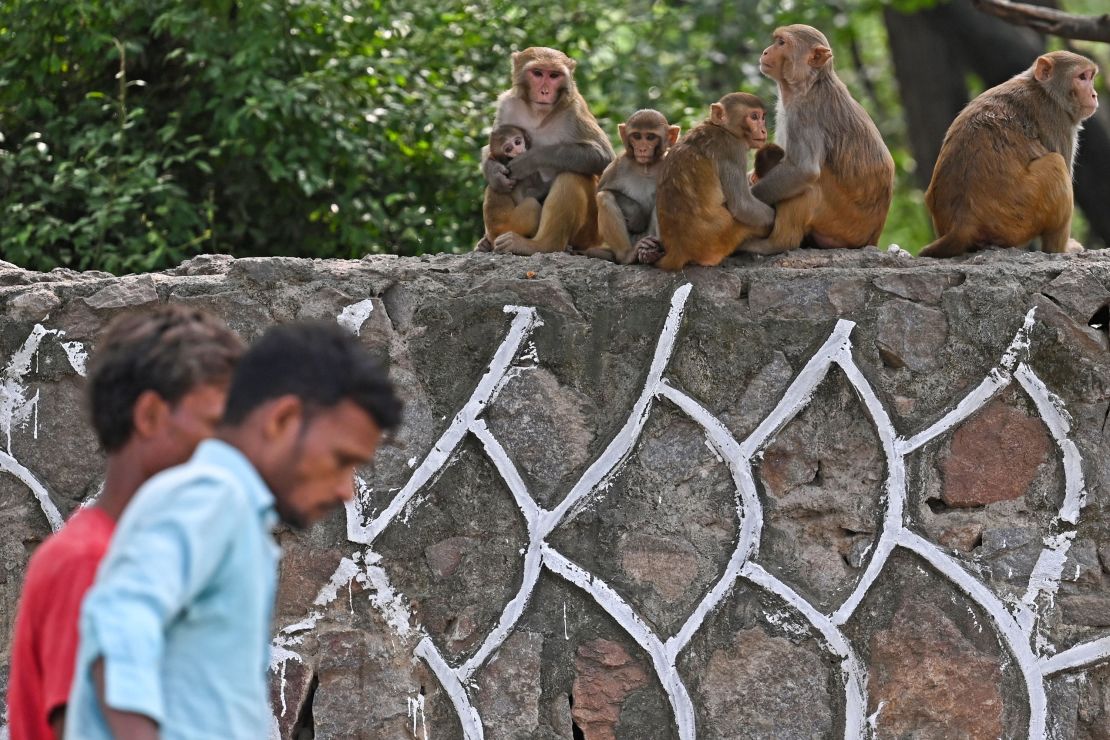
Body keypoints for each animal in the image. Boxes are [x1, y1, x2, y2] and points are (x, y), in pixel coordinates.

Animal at [477, 46, 617, 256]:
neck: (538, 113)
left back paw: (539, 245)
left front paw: (529, 160)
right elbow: (491, 148)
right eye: (537, 73)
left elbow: (604, 158)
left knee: (571, 176)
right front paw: (494, 172)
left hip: (590, 232)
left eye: (554, 75)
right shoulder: (507, 104)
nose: (544, 91)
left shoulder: (575, 111)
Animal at [586, 107, 679, 262]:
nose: (642, 148)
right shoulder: (619, 164)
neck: (646, 167)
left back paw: (652, 252)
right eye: (636, 136)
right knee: (604, 197)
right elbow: (602, 190)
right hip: (633, 239)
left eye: (650, 137)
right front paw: (637, 215)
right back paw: (628, 255)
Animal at [639, 92, 777, 270]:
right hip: (723, 238)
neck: (721, 128)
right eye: (754, 117)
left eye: (762, 117)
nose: (763, 129)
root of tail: (677, 250)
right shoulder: (733, 149)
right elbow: (741, 205)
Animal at [919, 50, 1101, 256]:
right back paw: (1058, 249)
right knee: (1055, 163)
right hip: (1019, 216)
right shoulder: (1057, 119)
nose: (1094, 94)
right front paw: (1062, 249)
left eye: (1091, 77)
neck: (1044, 91)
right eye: (1082, 77)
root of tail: (962, 223)